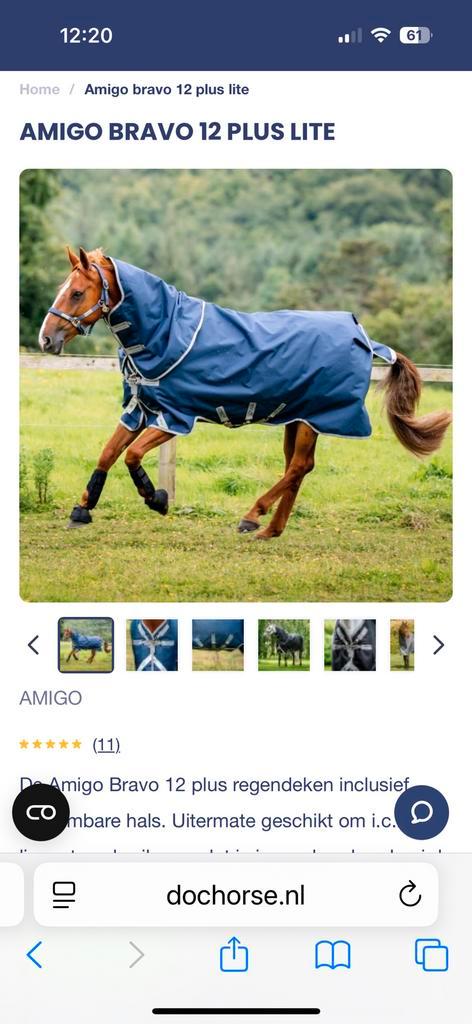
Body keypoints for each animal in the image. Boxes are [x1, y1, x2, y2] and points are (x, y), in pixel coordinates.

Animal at [39, 247, 452, 539]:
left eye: (77, 292)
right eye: (62, 289)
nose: (46, 339)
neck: (165, 333)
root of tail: (363, 335)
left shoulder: (175, 417)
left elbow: (132, 455)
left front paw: (157, 499)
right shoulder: (141, 409)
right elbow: (108, 453)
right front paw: (82, 510)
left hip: (314, 417)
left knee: (298, 466)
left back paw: (253, 517)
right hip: (297, 416)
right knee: (299, 467)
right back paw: (270, 530)